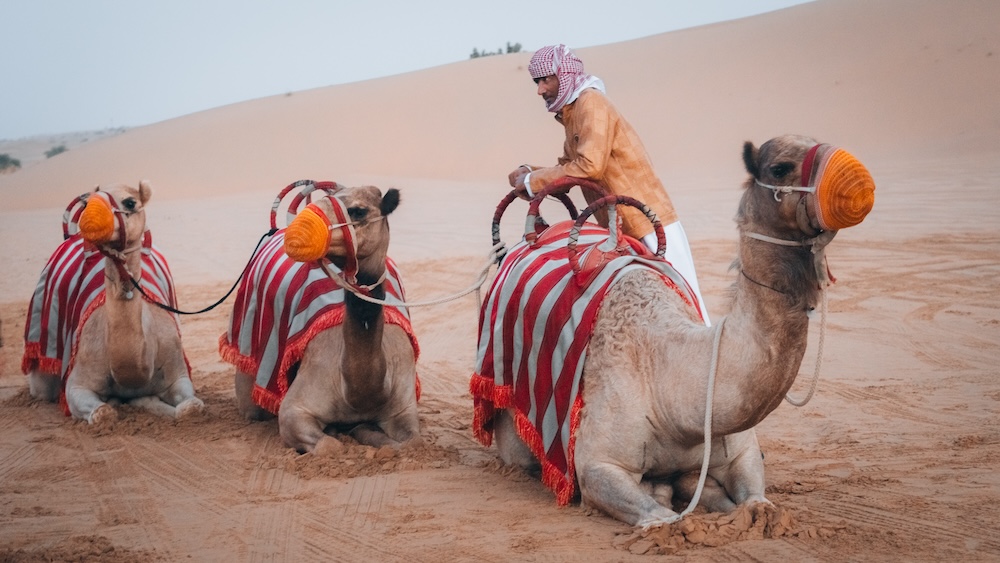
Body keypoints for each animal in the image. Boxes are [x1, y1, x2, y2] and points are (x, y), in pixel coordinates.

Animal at [25, 183, 203, 426]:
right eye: (87, 202)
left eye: (130, 202)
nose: (90, 218)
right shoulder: (76, 383)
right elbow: (103, 414)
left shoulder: (178, 372)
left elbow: (191, 408)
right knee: (42, 388)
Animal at [228, 185, 422, 454]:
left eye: (358, 210)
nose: (300, 230)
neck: (358, 393)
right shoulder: (295, 409)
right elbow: (331, 447)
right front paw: (339, 432)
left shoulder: (403, 405)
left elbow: (410, 443)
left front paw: (365, 431)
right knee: (252, 406)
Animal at [472, 134, 872, 528]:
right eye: (779, 168)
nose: (858, 183)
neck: (671, 383)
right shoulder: (598, 466)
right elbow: (663, 519)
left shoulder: (740, 451)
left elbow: (758, 502)